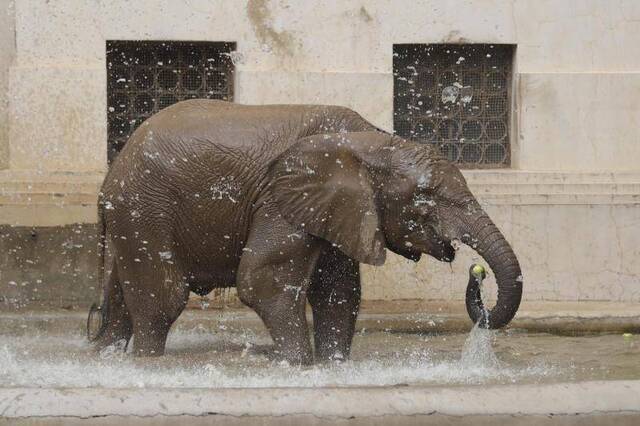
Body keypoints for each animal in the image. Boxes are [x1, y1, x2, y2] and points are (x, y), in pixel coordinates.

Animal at [89, 99, 520, 362]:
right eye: (427, 197)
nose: (476, 272)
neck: (369, 141)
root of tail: (110, 176)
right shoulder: (279, 200)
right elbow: (264, 280)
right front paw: (297, 366)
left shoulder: (336, 208)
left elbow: (339, 291)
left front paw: (333, 366)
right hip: (144, 208)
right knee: (163, 298)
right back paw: (147, 363)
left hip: (132, 217)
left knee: (124, 302)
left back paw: (108, 360)